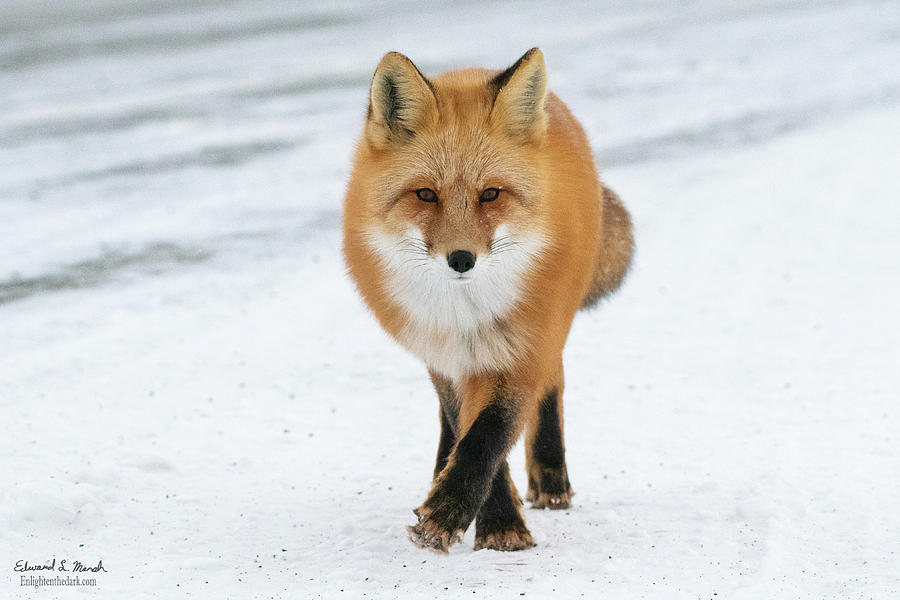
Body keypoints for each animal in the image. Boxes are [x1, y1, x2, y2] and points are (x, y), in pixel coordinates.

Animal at [342, 48, 632, 552]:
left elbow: (490, 436)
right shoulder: (448, 355)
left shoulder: (523, 345)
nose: (461, 259)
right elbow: (467, 430)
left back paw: (550, 477)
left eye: (491, 194)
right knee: (450, 422)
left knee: (552, 385)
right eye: (425, 194)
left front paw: (467, 517)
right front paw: (486, 516)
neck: (466, 316)